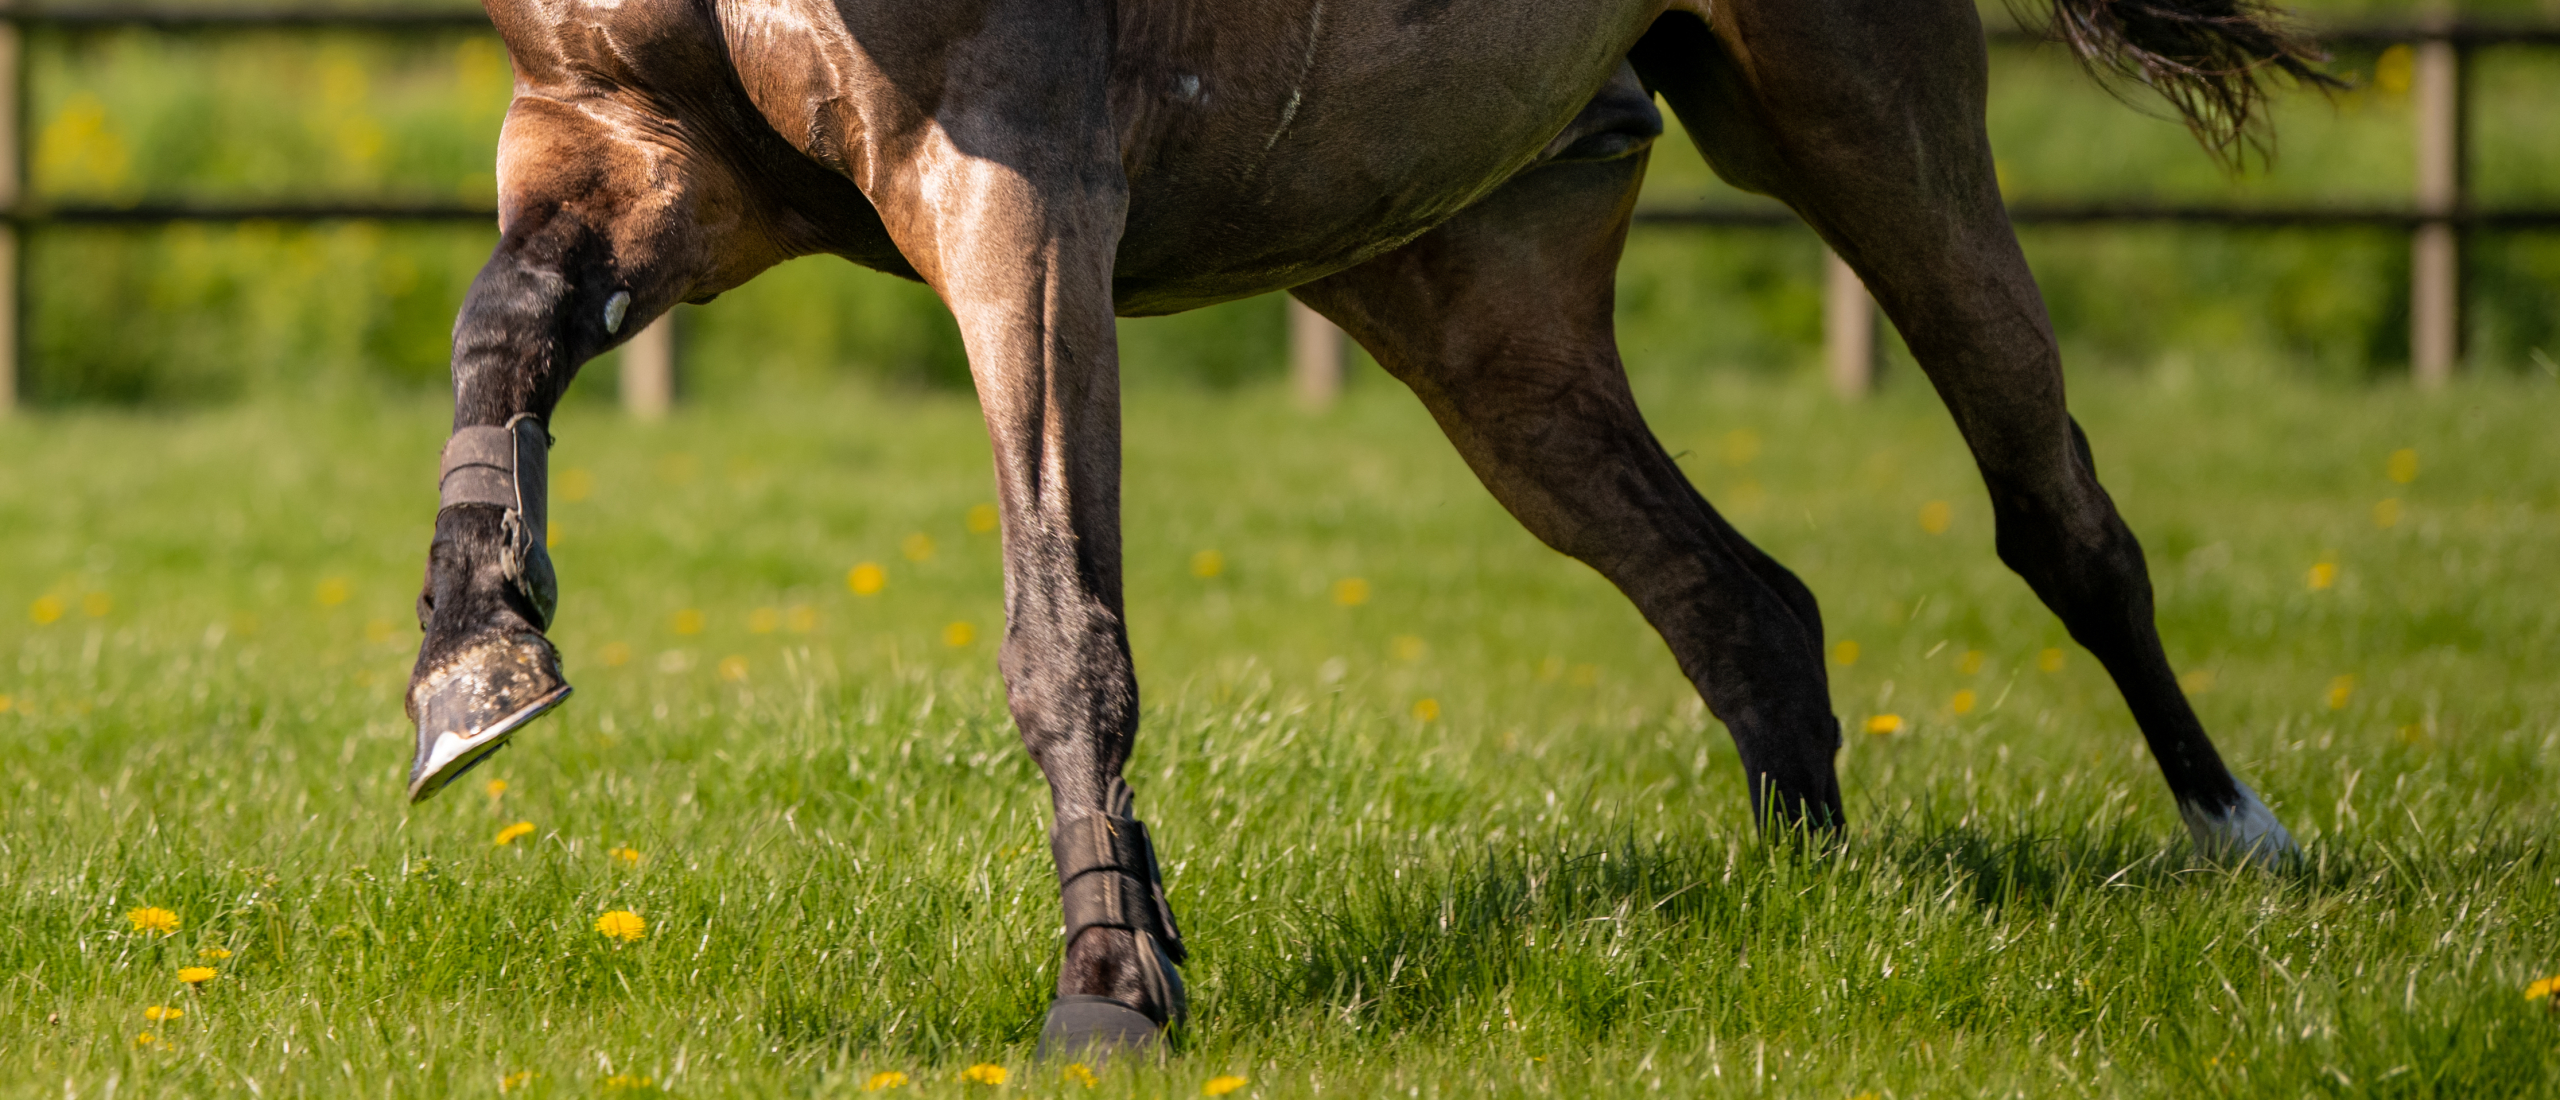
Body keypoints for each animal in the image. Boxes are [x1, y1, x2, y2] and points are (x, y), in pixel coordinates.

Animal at [404, 0, 2344, 1053]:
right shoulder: (633, 150)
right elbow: (497, 333)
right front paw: (473, 663)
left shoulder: (1014, 193)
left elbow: (1063, 626)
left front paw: (1110, 988)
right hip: (1470, 302)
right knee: (1743, 602)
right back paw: (1803, 904)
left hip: (1858, 127)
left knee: (2060, 516)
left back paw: (2245, 843)